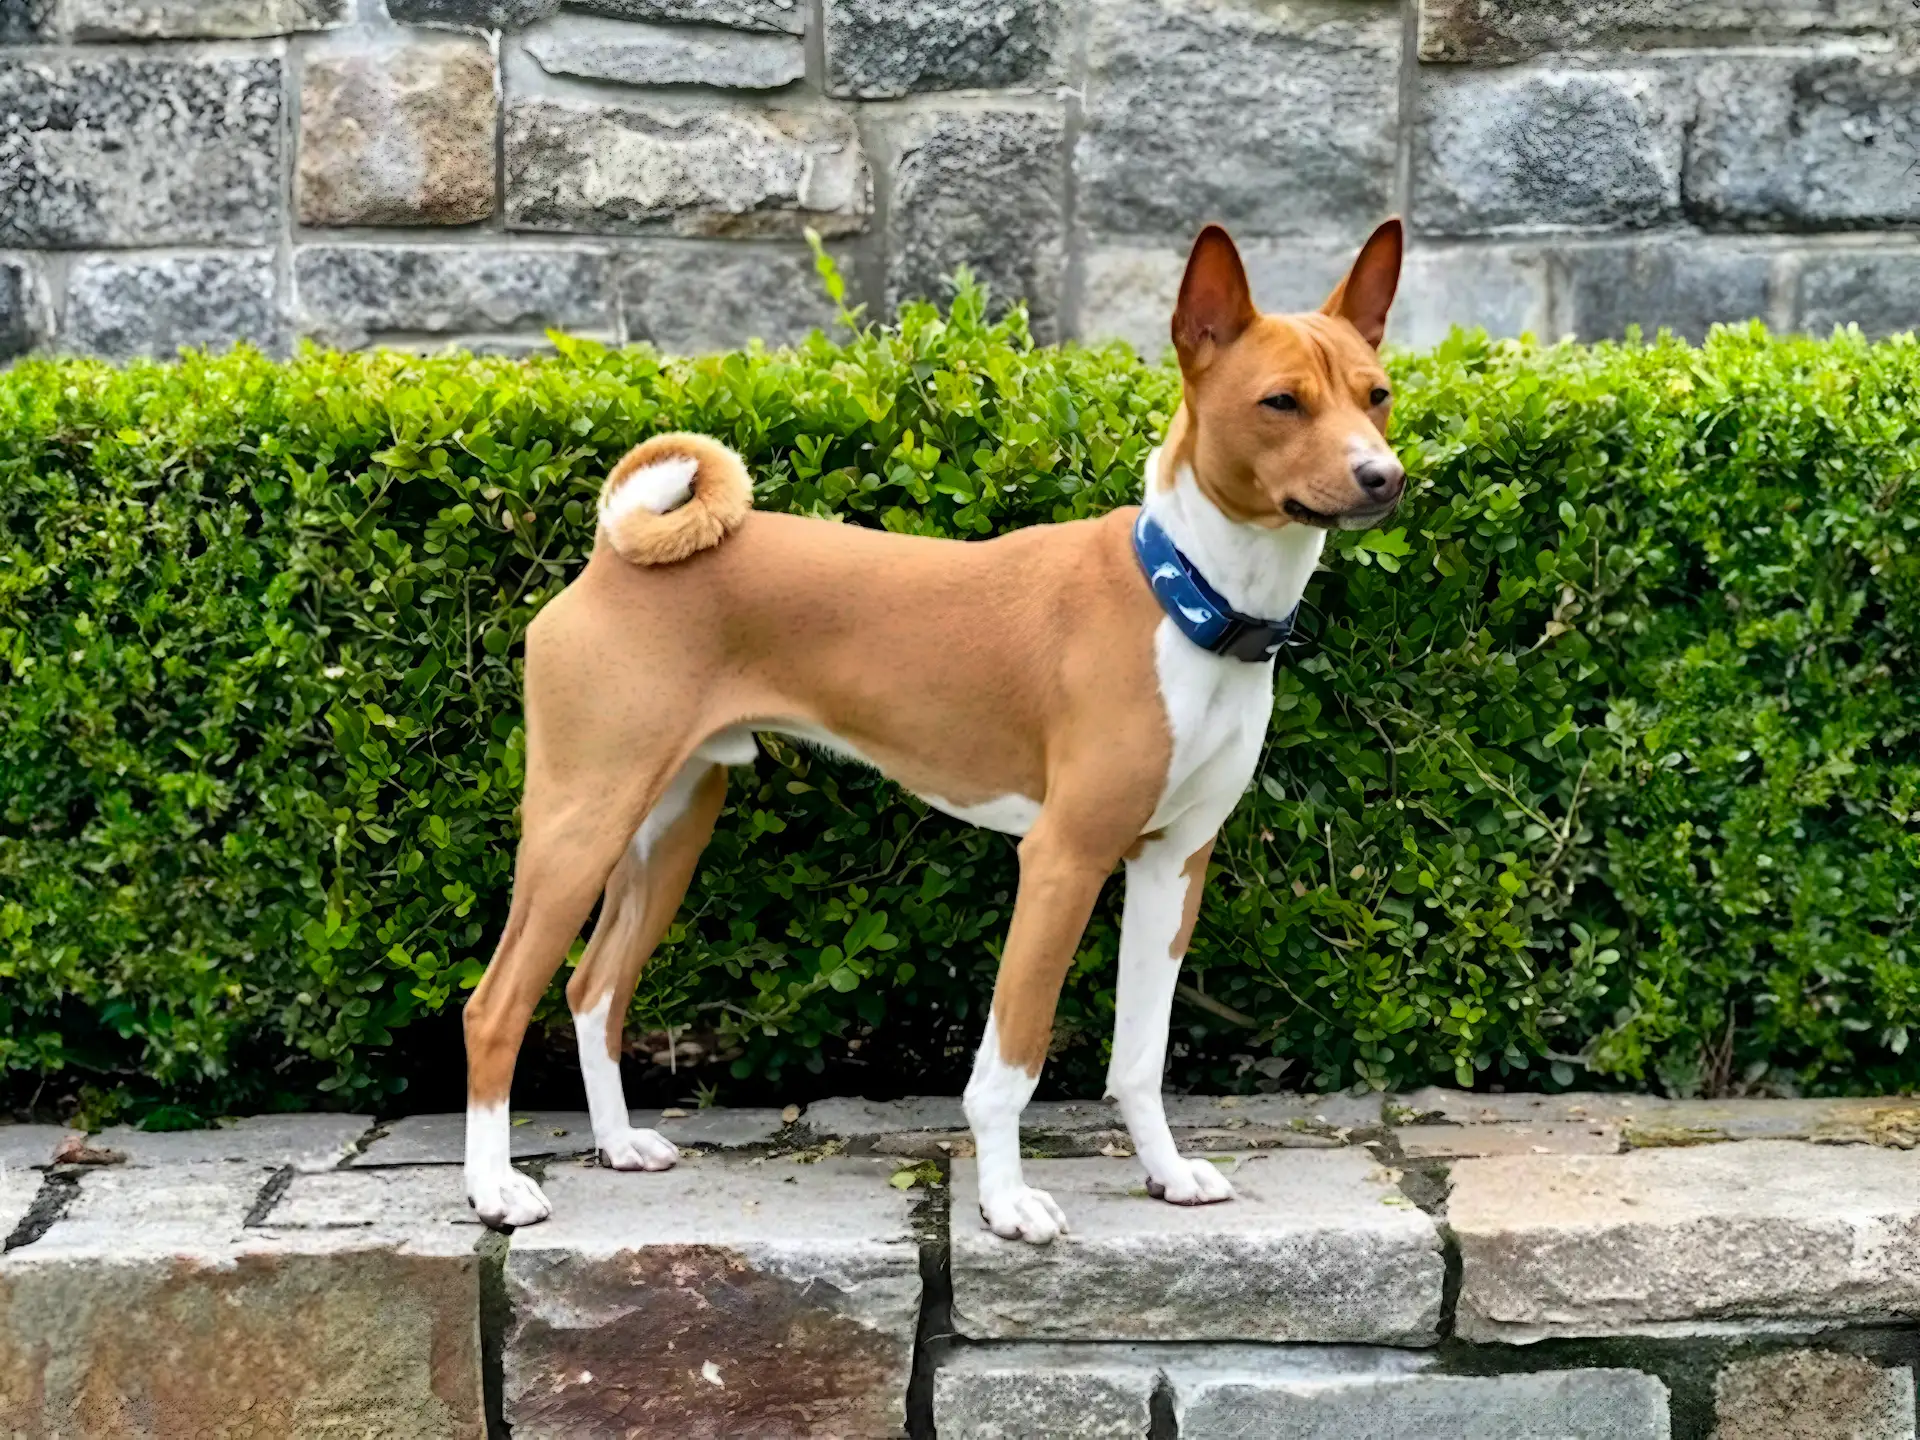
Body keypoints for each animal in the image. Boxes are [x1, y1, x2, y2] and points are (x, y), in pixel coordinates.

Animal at [456, 219, 1405, 1244]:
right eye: (1281, 402)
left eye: (1377, 396)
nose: (1382, 477)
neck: (1189, 597)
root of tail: (610, 555)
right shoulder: (1064, 859)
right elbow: (1012, 1060)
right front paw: (1005, 1202)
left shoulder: (1173, 861)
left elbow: (1141, 1054)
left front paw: (1164, 1173)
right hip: (581, 821)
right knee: (494, 1005)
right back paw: (492, 1190)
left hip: (669, 827)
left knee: (593, 990)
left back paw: (618, 1145)